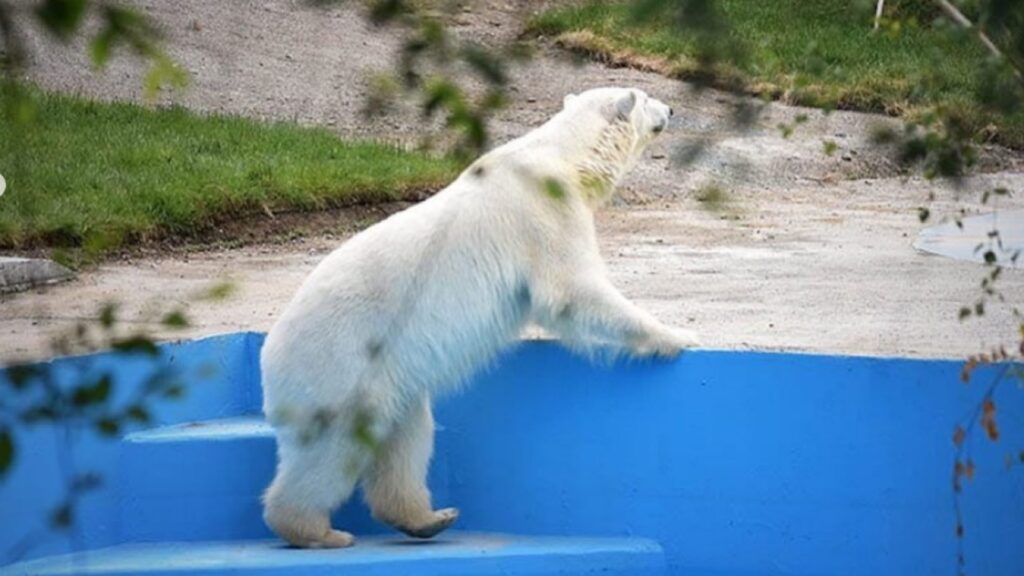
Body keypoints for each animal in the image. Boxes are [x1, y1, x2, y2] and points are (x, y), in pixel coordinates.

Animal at [260, 86, 700, 545]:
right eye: (646, 97)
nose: (671, 108)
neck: (562, 157)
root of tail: (268, 354)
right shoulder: (545, 214)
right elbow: (571, 291)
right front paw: (674, 336)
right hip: (338, 363)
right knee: (333, 446)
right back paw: (315, 531)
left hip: (389, 372)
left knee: (407, 434)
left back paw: (427, 517)